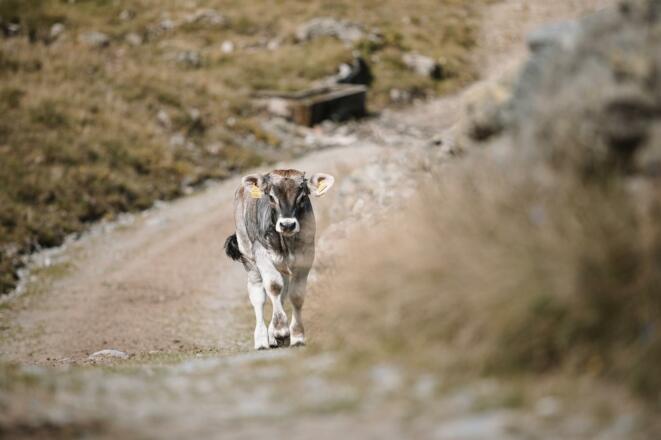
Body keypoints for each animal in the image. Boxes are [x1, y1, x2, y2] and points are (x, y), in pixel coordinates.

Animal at [224, 169, 335, 349]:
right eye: (270, 197)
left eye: (302, 197)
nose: (287, 225)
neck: (286, 243)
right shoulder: (262, 253)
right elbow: (273, 286)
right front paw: (281, 330)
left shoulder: (306, 256)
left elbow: (296, 295)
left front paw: (296, 336)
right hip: (248, 256)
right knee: (258, 295)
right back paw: (261, 339)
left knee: (282, 292)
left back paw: (272, 337)